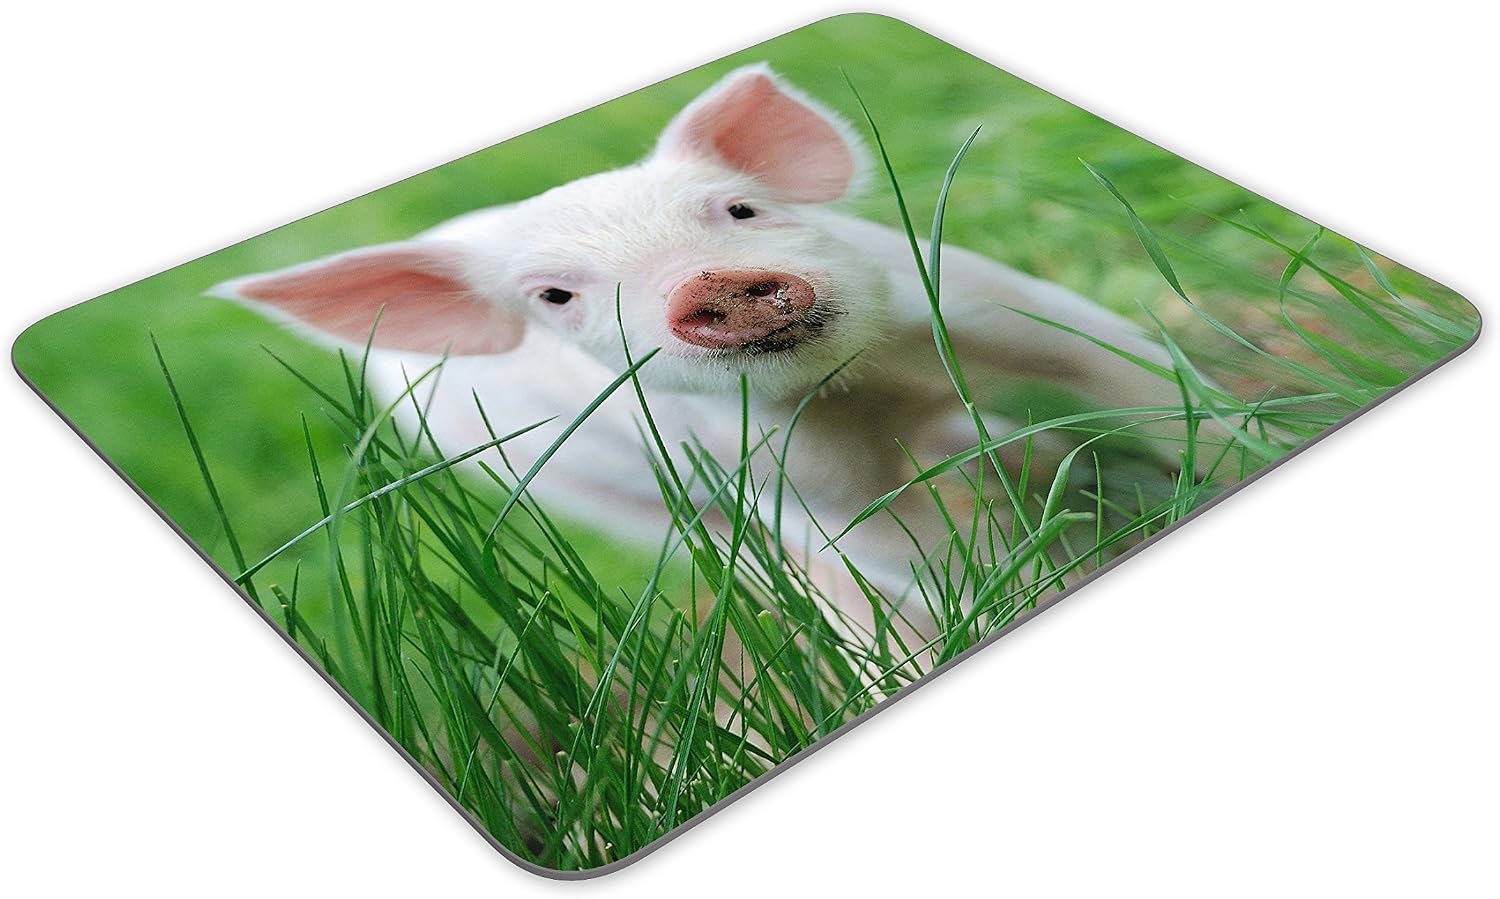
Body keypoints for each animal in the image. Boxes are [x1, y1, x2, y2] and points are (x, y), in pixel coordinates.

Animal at [214, 64, 1221, 643]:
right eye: (554, 298)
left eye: (739, 209)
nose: (710, 283)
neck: (864, 391)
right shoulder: (786, 476)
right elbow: (908, 548)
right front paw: (1026, 592)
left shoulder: (993, 304)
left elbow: (1136, 376)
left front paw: (1229, 447)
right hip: (598, 496)